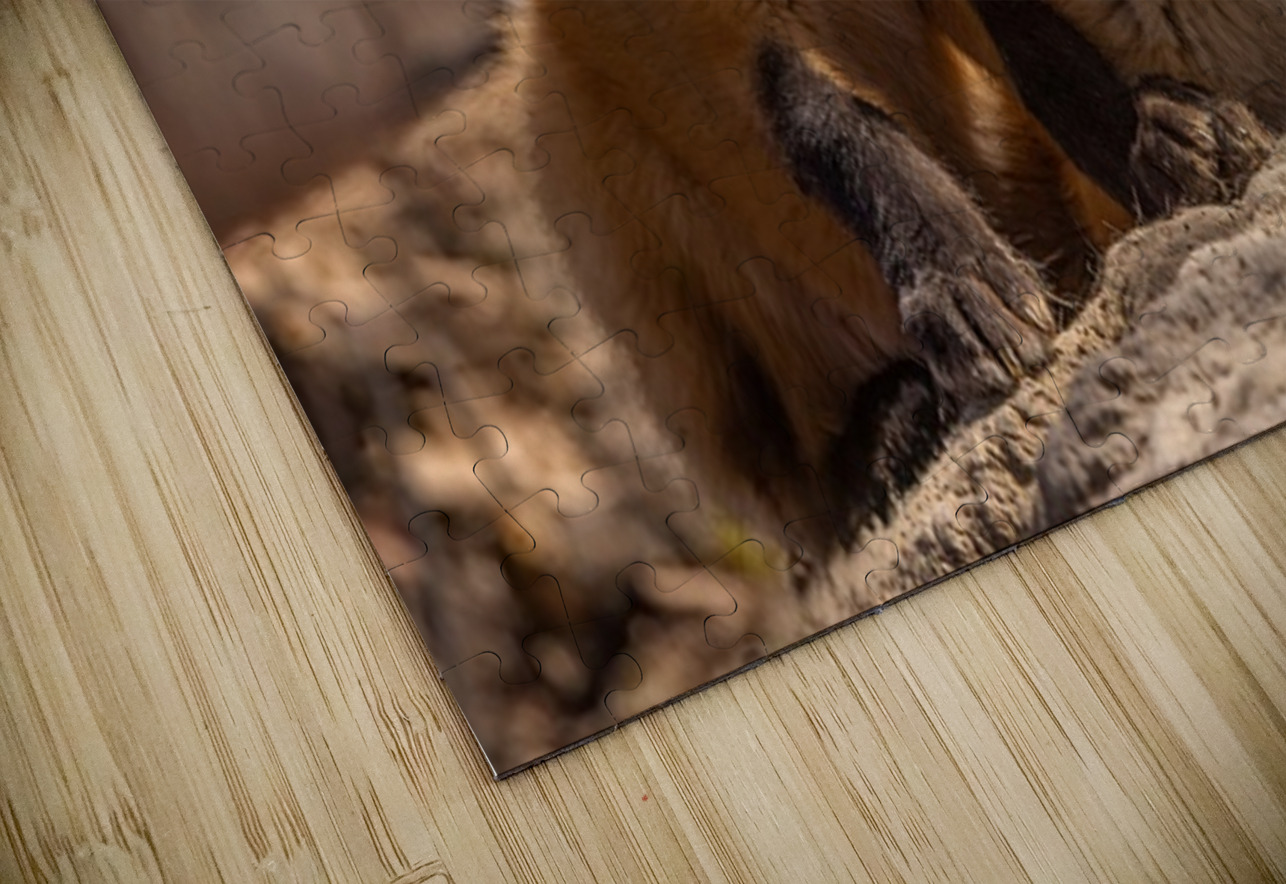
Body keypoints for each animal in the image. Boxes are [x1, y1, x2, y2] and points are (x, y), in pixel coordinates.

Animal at [518, 0, 1280, 554]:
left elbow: (1038, 52)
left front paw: (1159, 147)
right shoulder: (647, 27)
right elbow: (816, 114)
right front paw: (953, 281)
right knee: (799, 510)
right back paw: (882, 437)